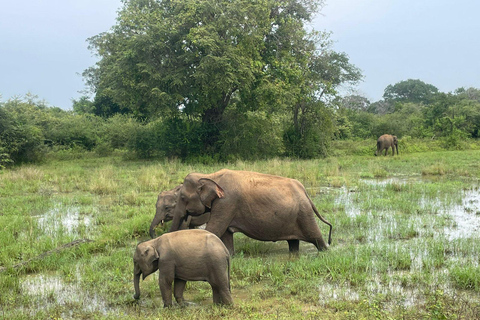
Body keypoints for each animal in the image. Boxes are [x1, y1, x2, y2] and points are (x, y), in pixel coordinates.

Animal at [168, 169, 330, 254]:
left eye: (182, 197)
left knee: (316, 237)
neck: (210, 176)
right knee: (293, 243)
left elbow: (214, 230)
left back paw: (325, 252)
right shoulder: (225, 206)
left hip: (304, 213)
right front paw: (230, 256)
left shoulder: (226, 203)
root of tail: (304, 191)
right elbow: (226, 234)